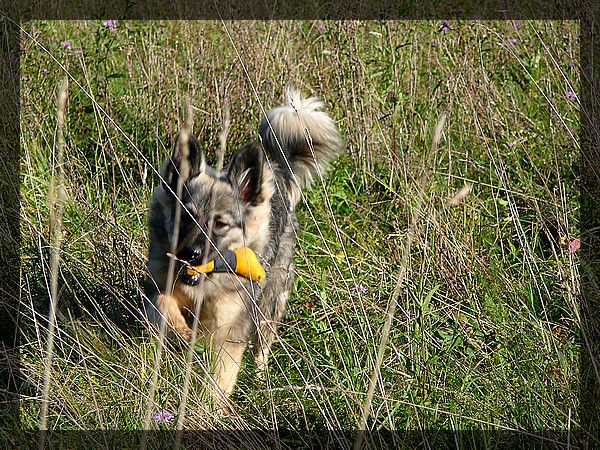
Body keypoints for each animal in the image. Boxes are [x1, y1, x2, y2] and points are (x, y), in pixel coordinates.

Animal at [142, 87, 342, 404]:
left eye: (220, 224)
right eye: (186, 216)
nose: (190, 254)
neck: (205, 285)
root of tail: (275, 173)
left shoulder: (229, 328)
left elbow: (221, 376)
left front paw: (210, 406)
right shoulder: (158, 285)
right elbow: (164, 306)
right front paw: (182, 333)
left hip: (269, 304)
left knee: (262, 346)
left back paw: (261, 382)